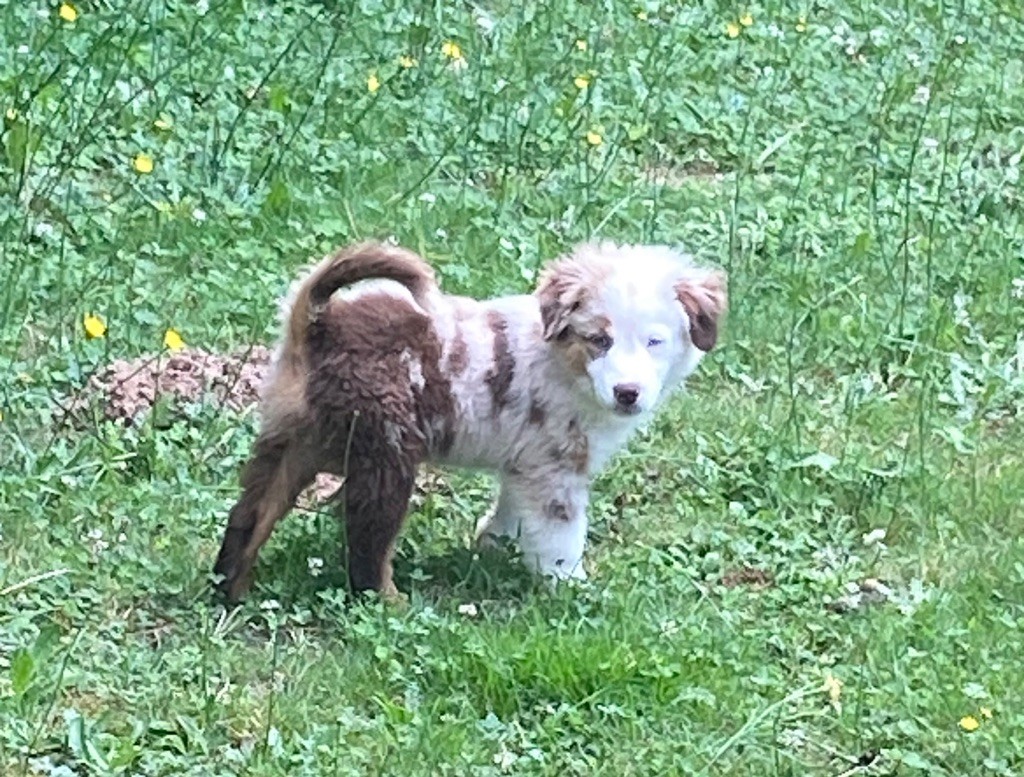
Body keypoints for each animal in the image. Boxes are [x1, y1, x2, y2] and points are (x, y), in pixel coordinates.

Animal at [213, 241, 726, 600]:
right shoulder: (555, 470)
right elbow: (563, 535)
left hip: (290, 444)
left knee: (248, 517)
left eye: (655, 342)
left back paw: (230, 591)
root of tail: (318, 323)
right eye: (599, 340)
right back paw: (391, 602)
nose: (627, 393)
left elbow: (512, 510)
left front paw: (494, 544)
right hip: (387, 454)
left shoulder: (526, 464)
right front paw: (570, 585)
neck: (563, 362)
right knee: (367, 543)